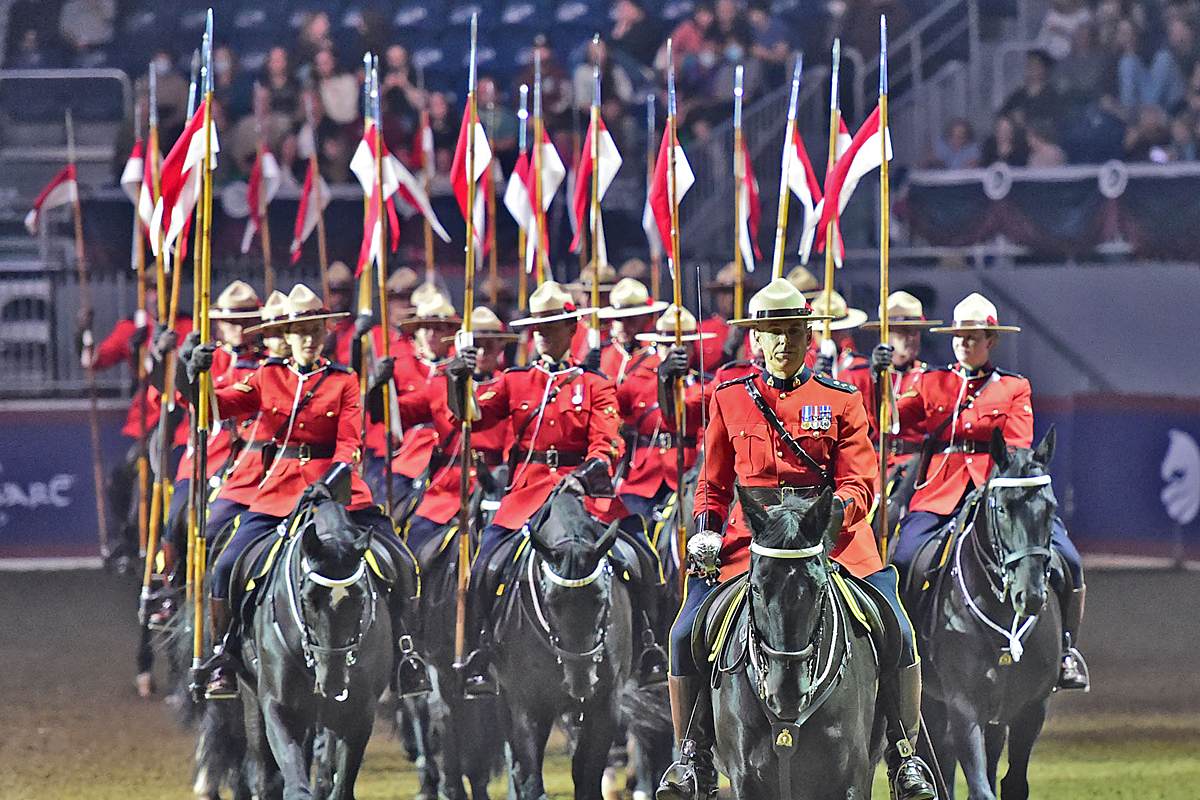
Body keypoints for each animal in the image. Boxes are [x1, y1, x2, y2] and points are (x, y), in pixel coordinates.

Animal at [237, 496, 393, 796]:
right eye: (308, 599)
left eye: (361, 598)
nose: (332, 681)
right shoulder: (279, 707)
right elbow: (295, 785)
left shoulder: (359, 714)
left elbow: (340, 787)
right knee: (263, 771)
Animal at [489, 491, 638, 800]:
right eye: (551, 602)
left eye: (600, 599)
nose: (581, 682)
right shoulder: (527, 706)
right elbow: (531, 780)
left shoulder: (606, 705)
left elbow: (587, 778)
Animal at [902, 431, 1065, 800]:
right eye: (1002, 508)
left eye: (1051, 508)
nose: (1030, 595)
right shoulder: (964, 708)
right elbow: (978, 787)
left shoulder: (1031, 709)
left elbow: (1013, 783)